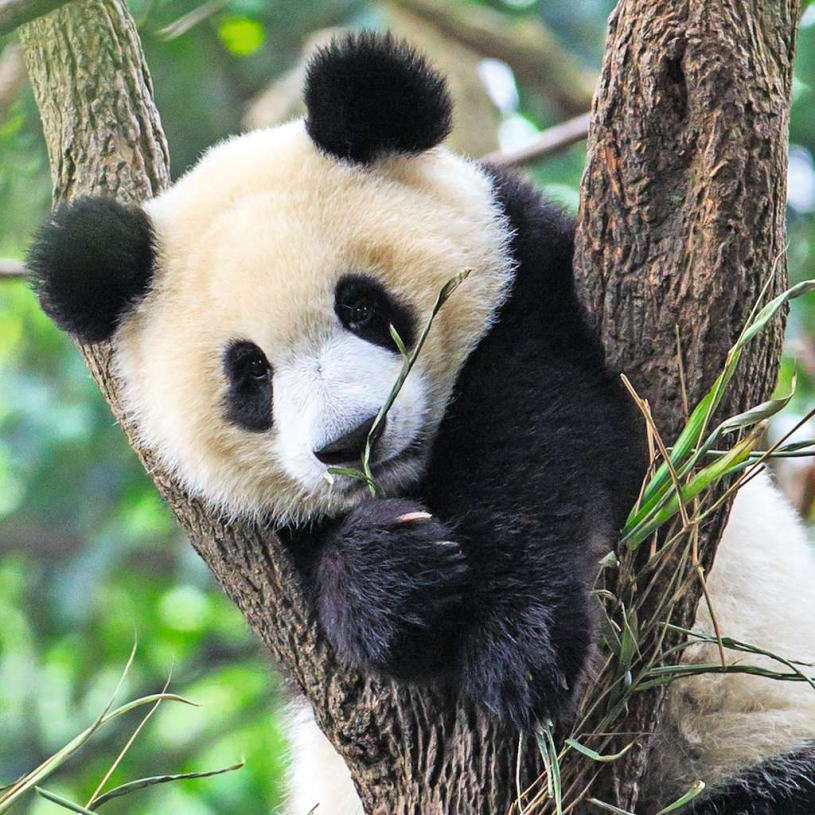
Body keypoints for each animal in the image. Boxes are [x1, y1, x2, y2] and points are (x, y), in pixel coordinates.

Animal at [26, 31, 815, 815]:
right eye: (251, 372)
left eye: (361, 306)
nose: (352, 441)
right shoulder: (252, 544)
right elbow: (311, 584)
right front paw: (391, 578)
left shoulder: (535, 287)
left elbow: (547, 439)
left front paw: (519, 649)